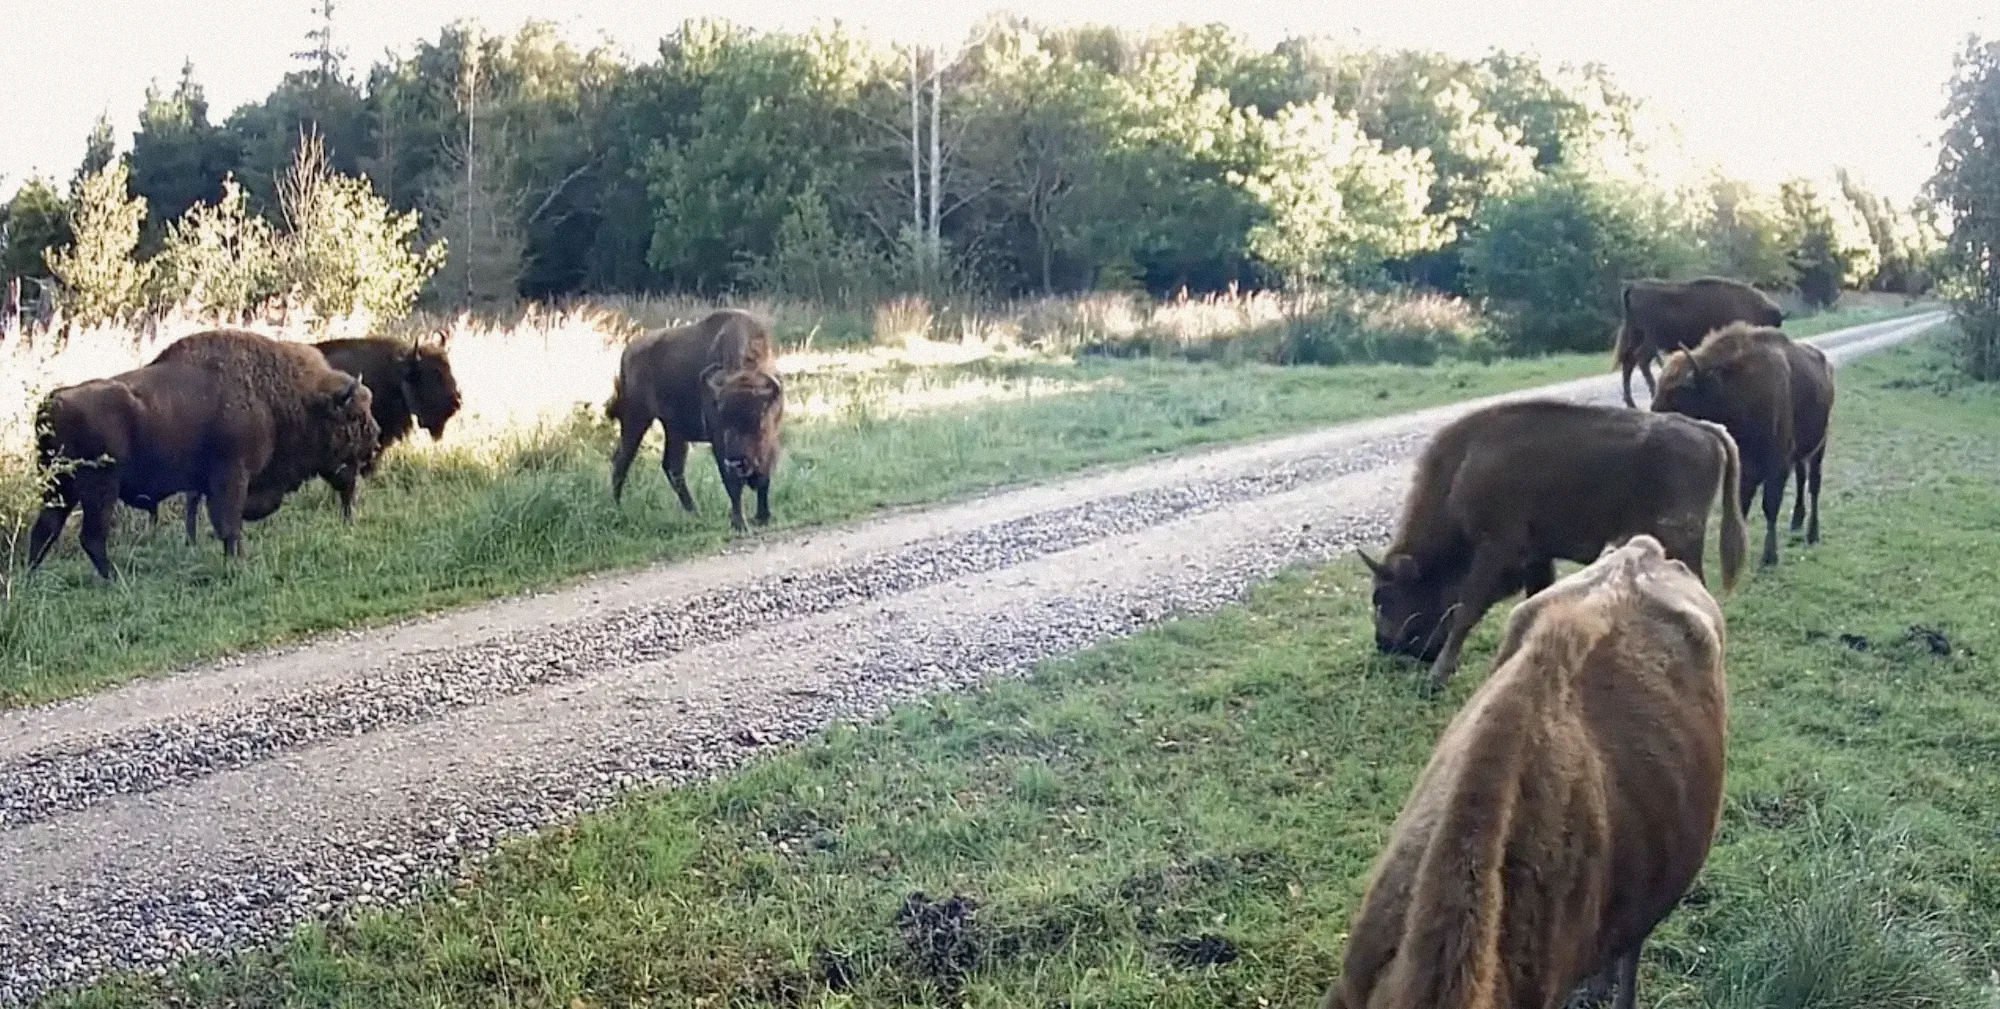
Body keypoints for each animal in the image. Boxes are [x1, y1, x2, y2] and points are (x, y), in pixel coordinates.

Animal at [28, 329, 379, 578]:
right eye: (354, 416)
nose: (375, 441)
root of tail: (54, 402)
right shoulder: (231, 477)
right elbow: (229, 524)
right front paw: (238, 564)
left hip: (61, 490)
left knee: (45, 530)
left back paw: (32, 580)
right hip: (98, 490)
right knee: (91, 537)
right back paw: (115, 579)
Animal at [609, 309, 785, 532]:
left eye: (759, 420)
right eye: (723, 418)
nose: (737, 462)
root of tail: (628, 351)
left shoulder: (771, 440)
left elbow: (765, 478)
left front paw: (763, 517)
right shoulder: (719, 443)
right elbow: (732, 484)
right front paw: (740, 524)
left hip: (673, 429)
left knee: (672, 467)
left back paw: (695, 513)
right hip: (636, 419)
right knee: (622, 460)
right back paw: (617, 509)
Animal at [1360, 399, 1746, 691]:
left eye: (1383, 597)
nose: (1383, 645)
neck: (1461, 471)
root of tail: (1704, 428)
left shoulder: (1495, 549)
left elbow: (1466, 611)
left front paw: (1435, 679)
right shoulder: (1537, 557)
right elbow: (1534, 601)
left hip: (1680, 538)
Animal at [1614, 277, 1784, 407]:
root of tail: (1634, 287)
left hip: (1636, 336)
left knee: (1629, 361)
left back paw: (1631, 402)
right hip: (1651, 340)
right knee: (1641, 359)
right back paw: (1651, 391)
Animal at [1652, 321, 1836, 567]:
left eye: (1678, 393)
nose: (1654, 418)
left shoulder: (1776, 466)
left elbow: (1770, 505)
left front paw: (1769, 558)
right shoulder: (1745, 468)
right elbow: (1742, 505)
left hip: (1819, 448)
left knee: (1814, 485)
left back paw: (1812, 534)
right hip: (1800, 455)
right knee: (1801, 479)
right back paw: (1796, 522)